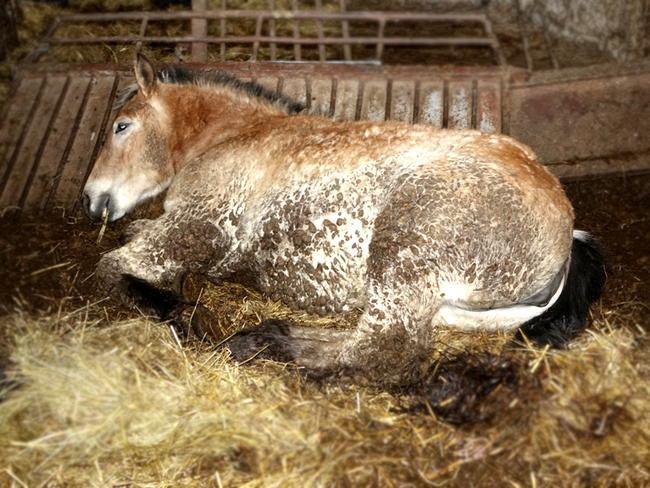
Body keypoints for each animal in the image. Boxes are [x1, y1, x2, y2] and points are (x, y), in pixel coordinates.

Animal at [83, 51, 604, 376]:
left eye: (121, 126)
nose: (92, 199)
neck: (233, 137)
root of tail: (564, 233)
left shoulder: (197, 227)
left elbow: (112, 267)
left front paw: (176, 312)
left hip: (405, 250)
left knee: (382, 346)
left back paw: (265, 340)